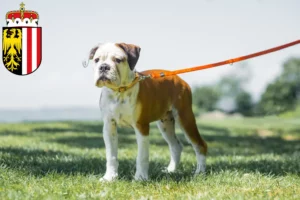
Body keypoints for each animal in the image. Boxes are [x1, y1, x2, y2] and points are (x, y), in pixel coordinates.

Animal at [83, 42, 207, 181]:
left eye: (118, 60)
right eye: (96, 60)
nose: (104, 67)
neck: (120, 91)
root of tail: (179, 78)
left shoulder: (141, 127)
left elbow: (142, 156)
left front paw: (140, 178)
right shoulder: (109, 127)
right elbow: (111, 156)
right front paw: (110, 177)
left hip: (185, 118)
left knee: (200, 145)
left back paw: (200, 172)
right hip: (165, 124)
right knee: (176, 146)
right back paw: (171, 170)